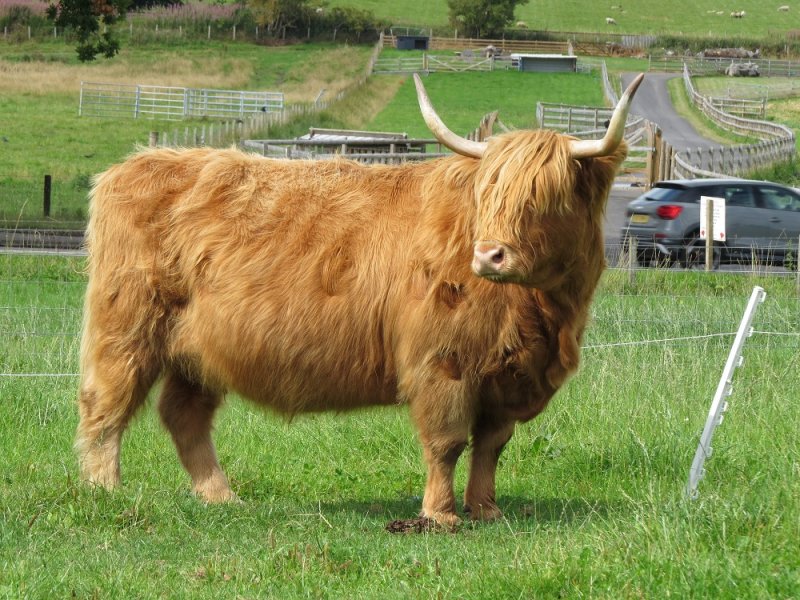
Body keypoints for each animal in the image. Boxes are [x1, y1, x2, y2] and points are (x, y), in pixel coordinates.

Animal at [77, 73, 644, 528]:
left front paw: (486, 509)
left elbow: (491, 447)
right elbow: (447, 442)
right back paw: (103, 488)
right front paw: (441, 516)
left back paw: (221, 496)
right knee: (106, 402)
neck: (543, 314)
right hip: (126, 324)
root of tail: (129, 166)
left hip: (198, 350)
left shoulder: (508, 374)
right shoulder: (442, 364)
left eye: (547, 197)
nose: (489, 255)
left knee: (184, 414)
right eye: (488, 196)